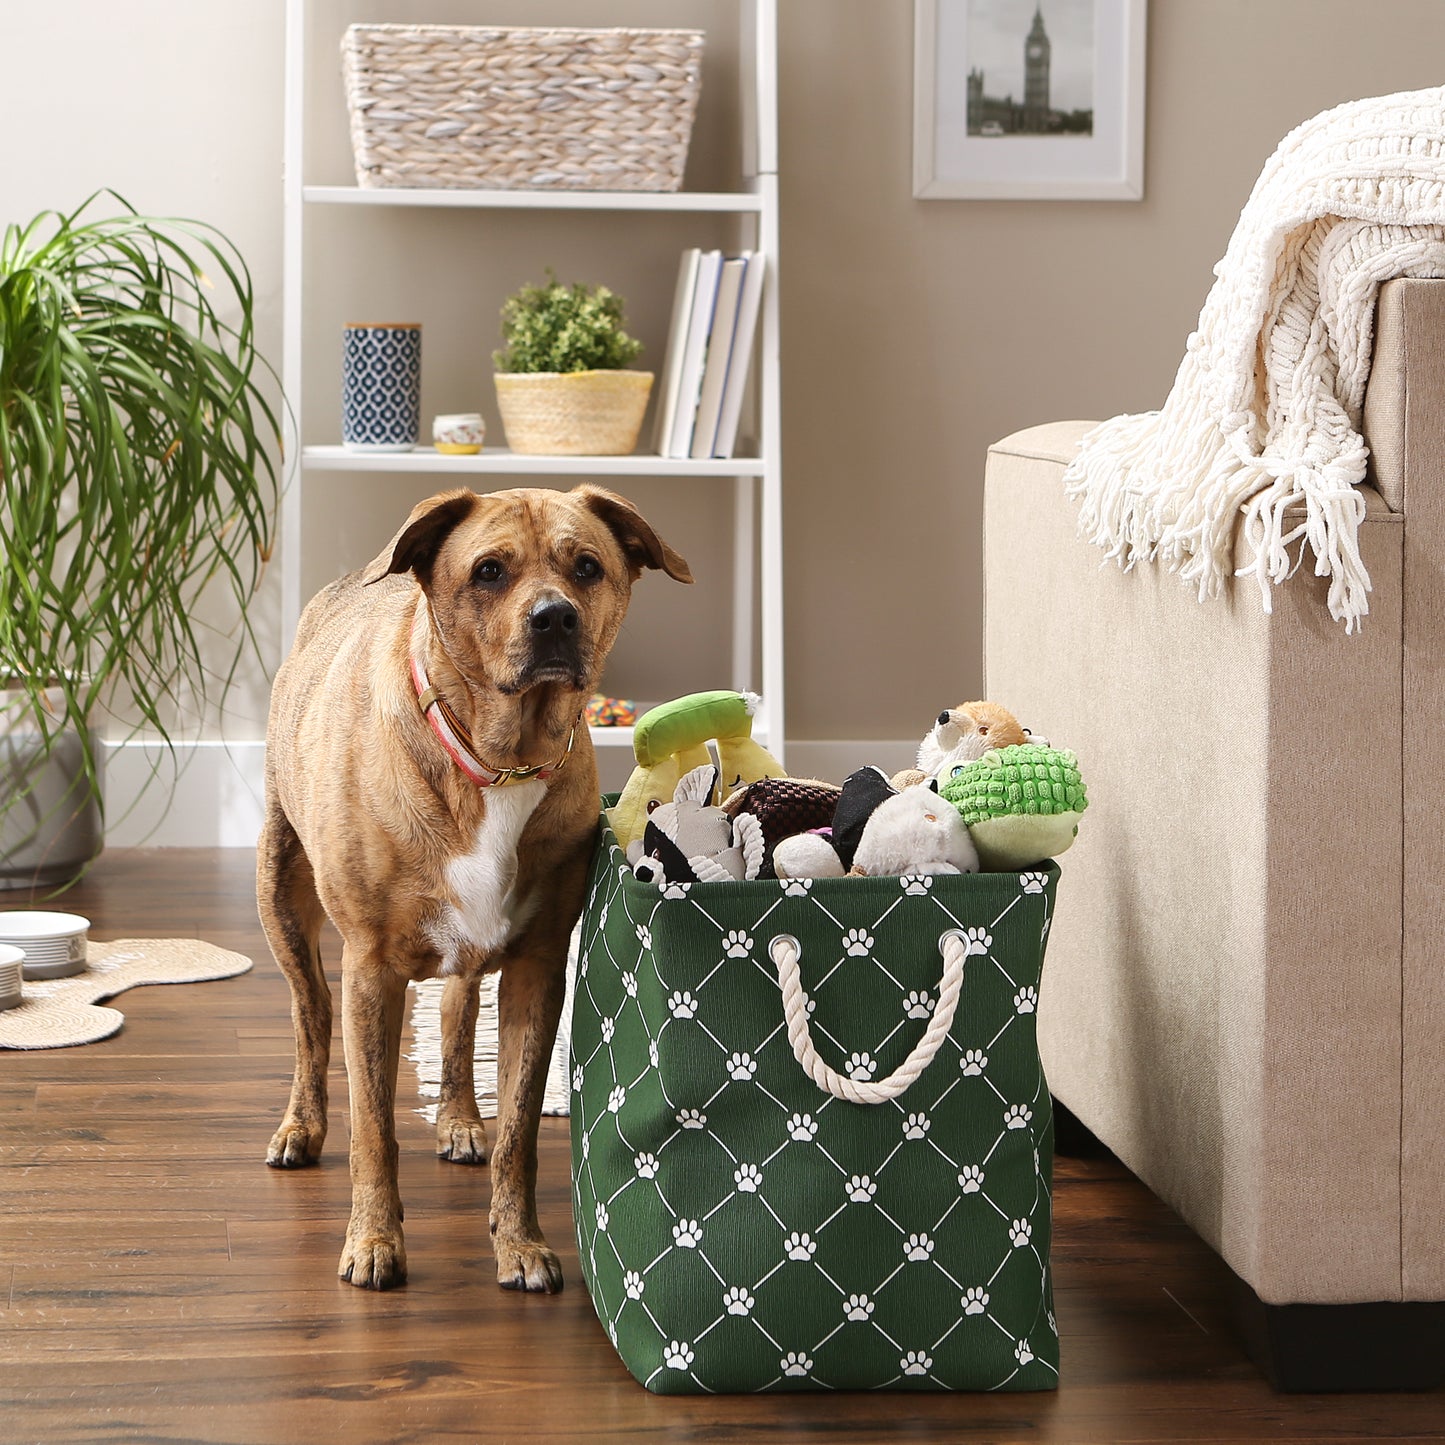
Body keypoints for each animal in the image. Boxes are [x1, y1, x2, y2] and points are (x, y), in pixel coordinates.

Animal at [257, 482, 690, 1288]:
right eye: (489, 571)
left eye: (587, 567)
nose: (554, 616)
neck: (498, 759)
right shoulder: (370, 968)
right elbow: (373, 1128)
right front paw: (373, 1241)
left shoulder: (537, 966)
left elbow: (519, 1127)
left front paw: (519, 1243)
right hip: (281, 889)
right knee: (310, 1014)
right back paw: (301, 1124)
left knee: (458, 1008)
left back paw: (459, 1116)